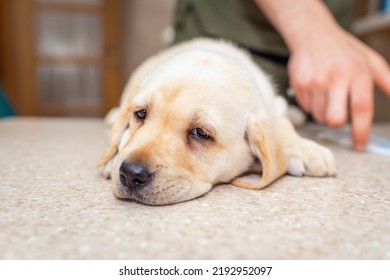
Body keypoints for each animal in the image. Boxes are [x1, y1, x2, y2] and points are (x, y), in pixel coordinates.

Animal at [97, 38, 336, 205]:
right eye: (140, 114)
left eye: (200, 133)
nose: (131, 174)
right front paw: (113, 158)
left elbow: (282, 125)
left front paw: (305, 148)